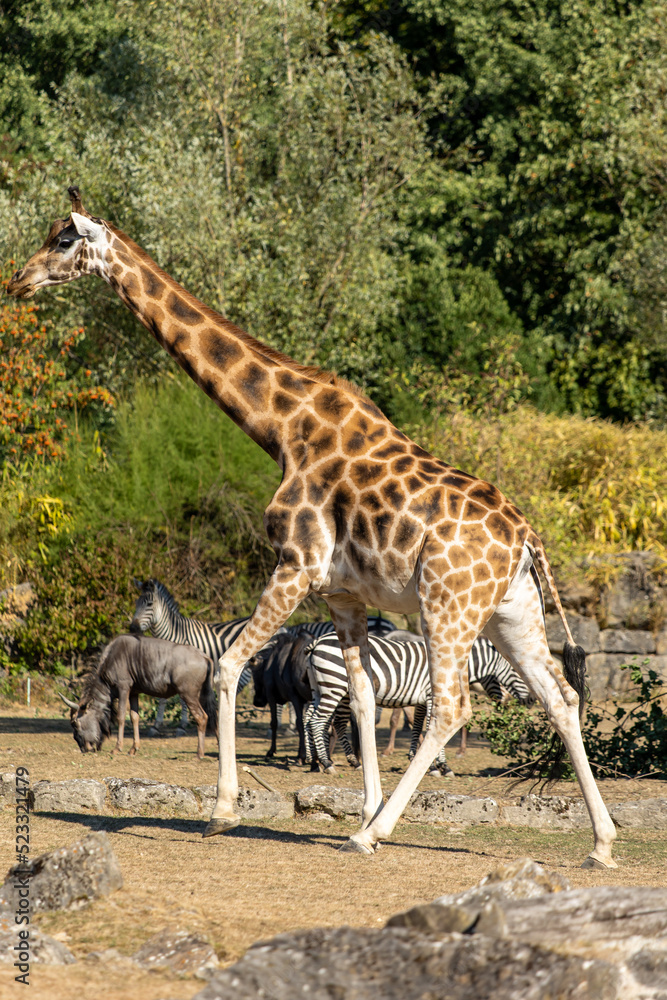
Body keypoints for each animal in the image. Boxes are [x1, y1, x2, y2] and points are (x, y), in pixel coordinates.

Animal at [7, 188, 617, 868]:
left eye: (63, 240)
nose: (18, 279)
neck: (281, 428)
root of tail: (525, 539)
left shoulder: (295, 564)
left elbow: (229, 669)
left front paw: (225, 811)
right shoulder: (343, 595)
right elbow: (362, 696)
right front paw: (362, 806)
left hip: (448, 604)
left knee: (452, 704)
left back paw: (373, 835)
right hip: (510, 611)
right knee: (561, 698)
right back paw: (600, 844)